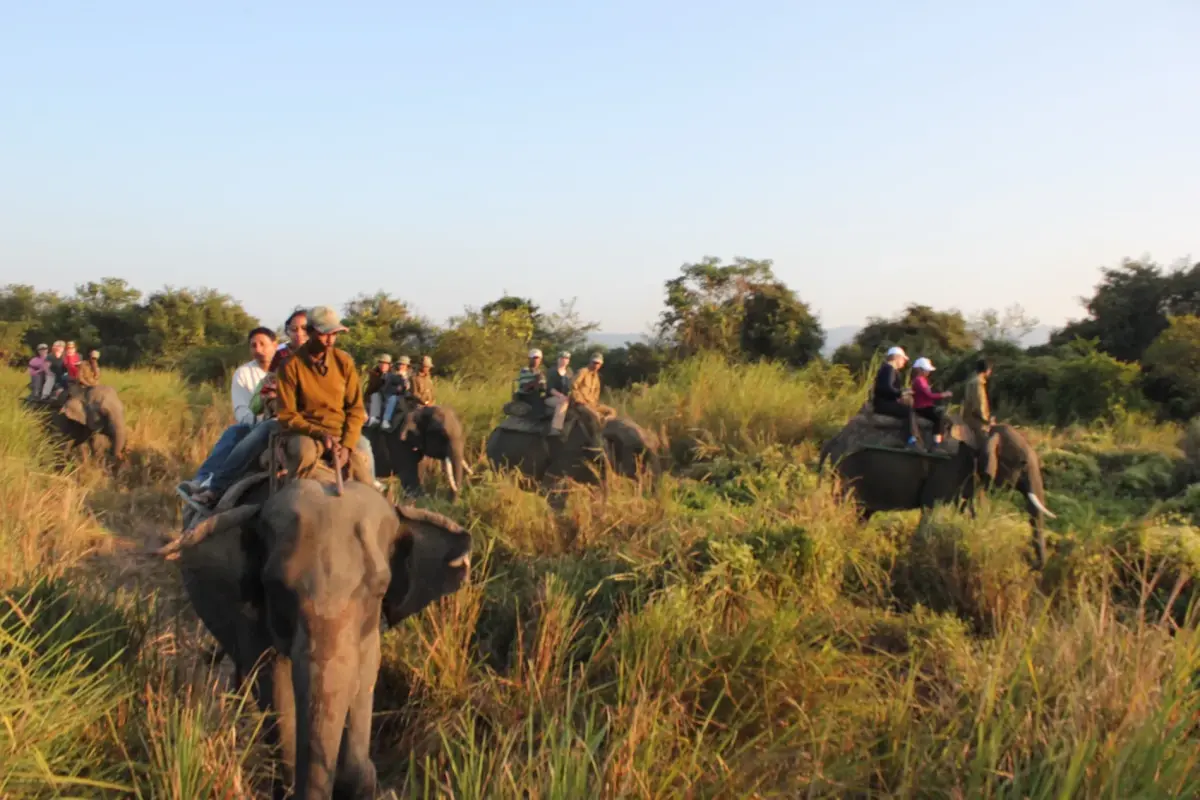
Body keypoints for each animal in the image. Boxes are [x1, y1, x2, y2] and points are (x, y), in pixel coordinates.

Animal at [818, 416, 1055, 568]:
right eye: (1023, 464)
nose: (1031, 563)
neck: (982, 433)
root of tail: (831, 442)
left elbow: (973, 511)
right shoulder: (949, 466)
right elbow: (932, 507)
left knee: (862, 514)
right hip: (845, 470)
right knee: (843, 506)